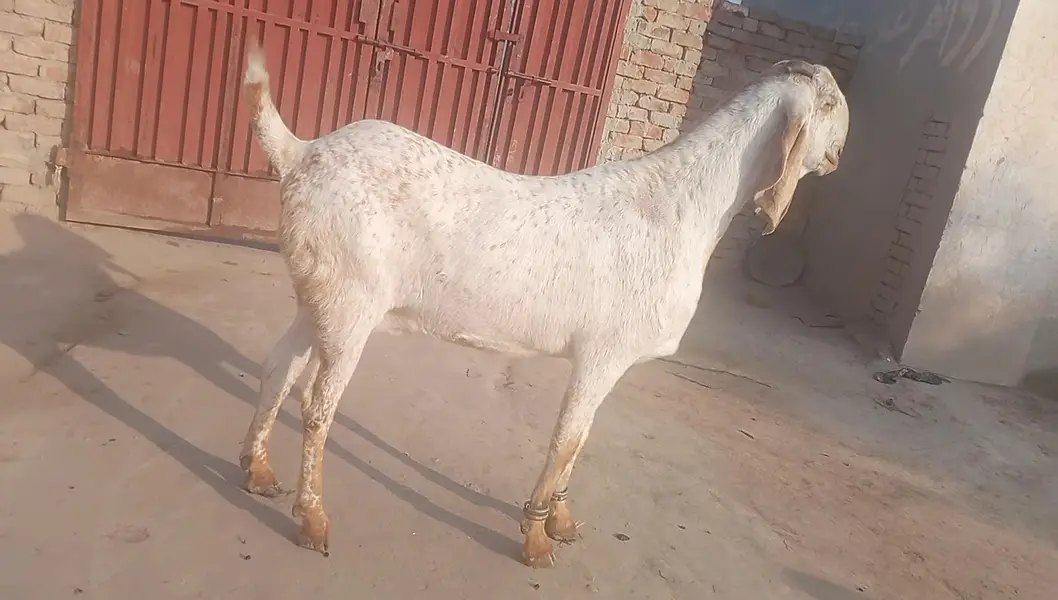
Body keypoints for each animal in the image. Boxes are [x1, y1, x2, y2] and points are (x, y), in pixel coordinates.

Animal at [237, 41, 849, 567]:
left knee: (280, 365)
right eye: (836, 109)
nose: (839, 157)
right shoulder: (603, 354)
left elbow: (582, 439)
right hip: (351, 302)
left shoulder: (606, 363)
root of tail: (303, 153)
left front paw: (561, 521)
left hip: (318, 292)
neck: (678, 205)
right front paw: (535, 541)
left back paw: (257, 471)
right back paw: (313, 520)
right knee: (317, 404)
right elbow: (566, 439)